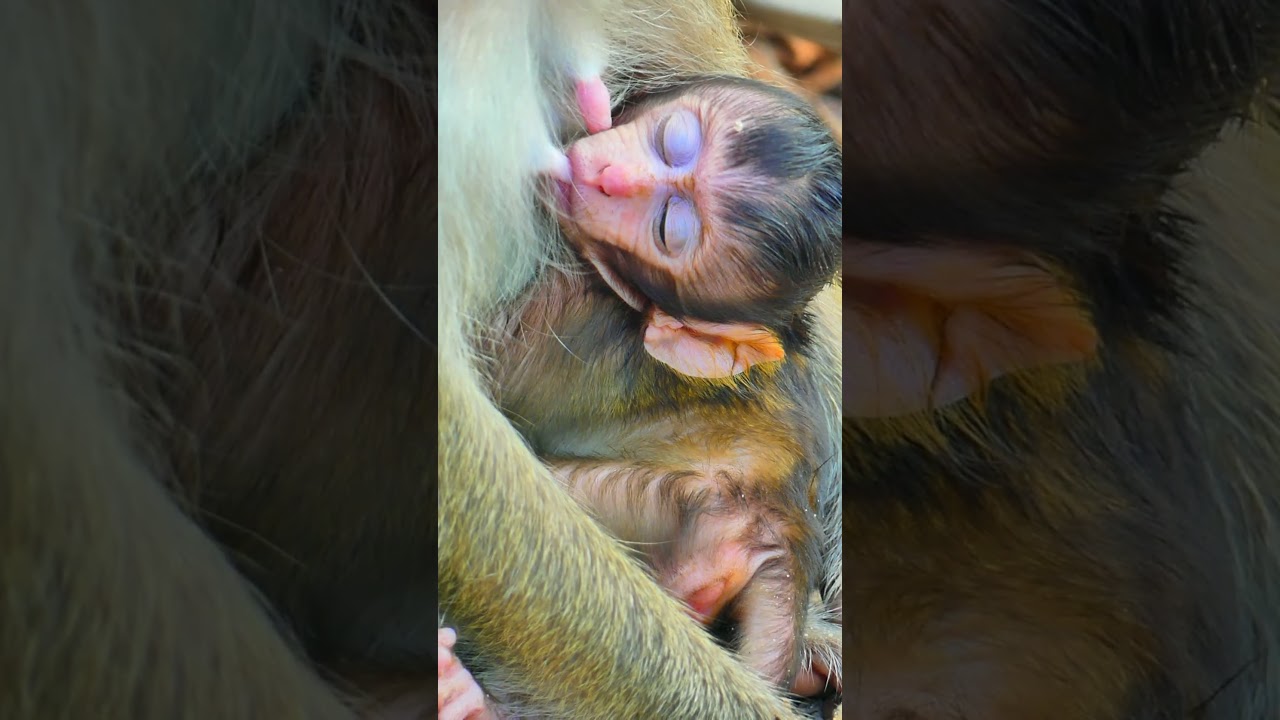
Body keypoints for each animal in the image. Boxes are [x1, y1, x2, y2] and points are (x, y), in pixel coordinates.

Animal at [436, 73, 844, 720]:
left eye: (668, 227)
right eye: (675, 140)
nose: (613, 178)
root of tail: (786, 533)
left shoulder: (553, 307)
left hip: (666, 511)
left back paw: (465, 698)